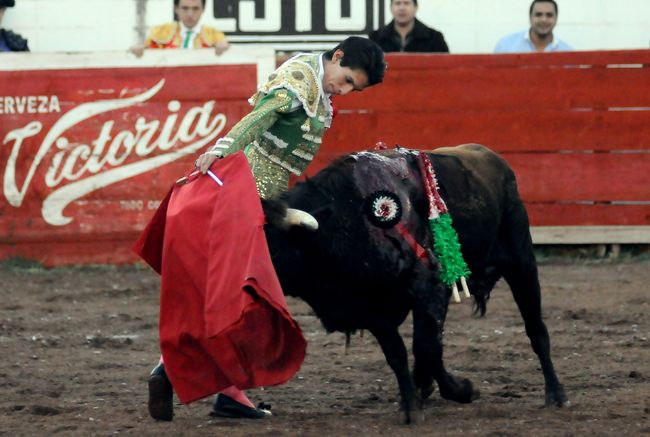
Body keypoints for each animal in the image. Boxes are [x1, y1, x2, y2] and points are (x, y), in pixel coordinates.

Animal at [263, 144, 568, 423]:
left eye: (272, 249)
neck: (348, 218)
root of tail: (493, 157)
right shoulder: (374, 309)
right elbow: (399, 353)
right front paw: (413, 402)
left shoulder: (429, 289)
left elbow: (425, 348)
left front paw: (456, 390)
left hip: (522, 262)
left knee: (536, 328)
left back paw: (556, 394)